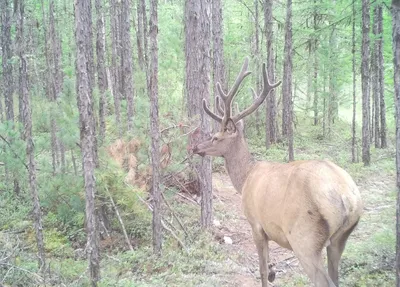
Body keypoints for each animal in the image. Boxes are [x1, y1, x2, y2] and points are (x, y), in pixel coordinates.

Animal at [192, 58, 364, 287]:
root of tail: (347, 198)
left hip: (304, 238)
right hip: (340, 239)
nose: (196, 147)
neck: (245, 178)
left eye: (215, 138)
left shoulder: (256, 223)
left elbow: (263, 270)